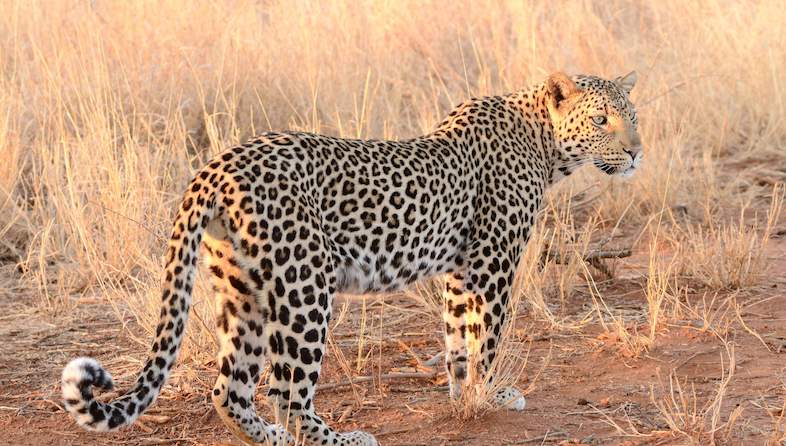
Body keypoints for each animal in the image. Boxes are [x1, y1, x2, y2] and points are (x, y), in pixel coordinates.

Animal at [62, 71, 641, 445]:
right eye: (602, 120)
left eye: (632, 116)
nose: (637, 151)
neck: (548, 148)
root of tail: (215, 167)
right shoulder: (492, 264)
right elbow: (489, 336)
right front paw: (495, 393)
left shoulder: (460, 272)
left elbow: (458, 337)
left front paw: (464, 395)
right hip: (304, 287)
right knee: (288, 392)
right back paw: (341, 438)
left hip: (243, 291)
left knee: (229, 389)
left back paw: (269, 437)